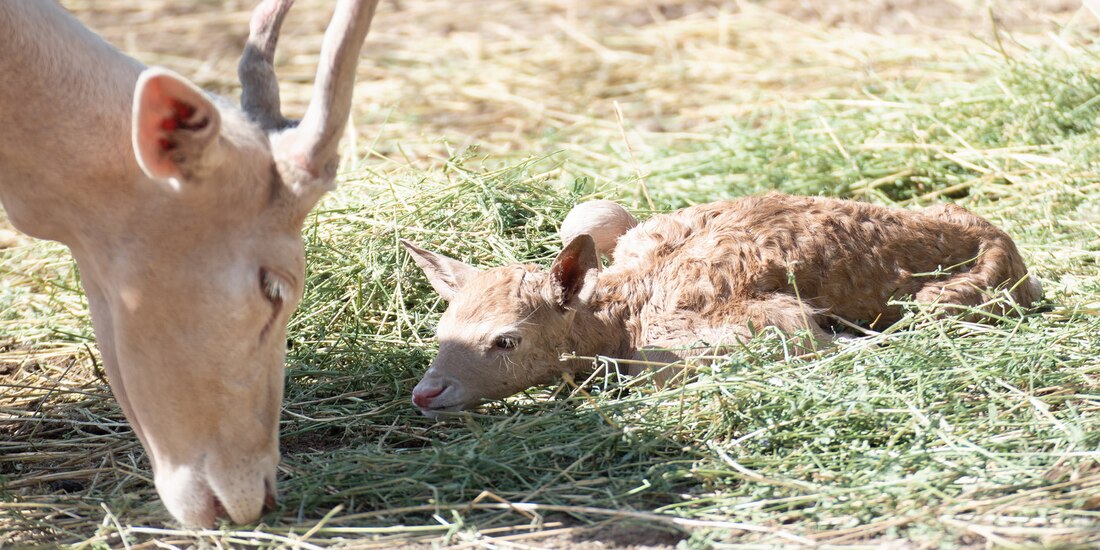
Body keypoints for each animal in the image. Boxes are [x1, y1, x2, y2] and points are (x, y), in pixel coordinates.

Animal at [402, 193, 1042, 417]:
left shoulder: (770, 324)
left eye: (506, 340)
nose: (425, 392)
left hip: (958, 296)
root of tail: (1006, 241)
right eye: (439, 333)